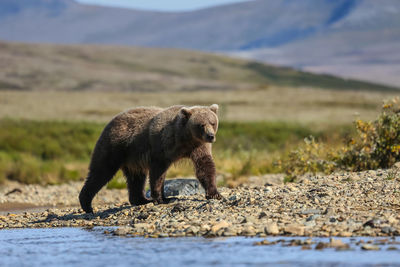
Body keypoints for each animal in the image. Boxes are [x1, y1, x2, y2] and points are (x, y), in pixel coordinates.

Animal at [78, 104, 222, 214]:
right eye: (201, 124)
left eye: (213, 122)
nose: (210, 136)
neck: (185, 138)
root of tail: (111, 121)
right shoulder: (162, 146)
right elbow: (158, 173)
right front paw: (160, 198)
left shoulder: (199, 147)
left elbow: (205, 166)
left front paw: (214, 193)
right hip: (115, 145)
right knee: (101, 171)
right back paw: (87, 204)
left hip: (132, 158)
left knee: (136, 177)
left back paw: (141, 200)